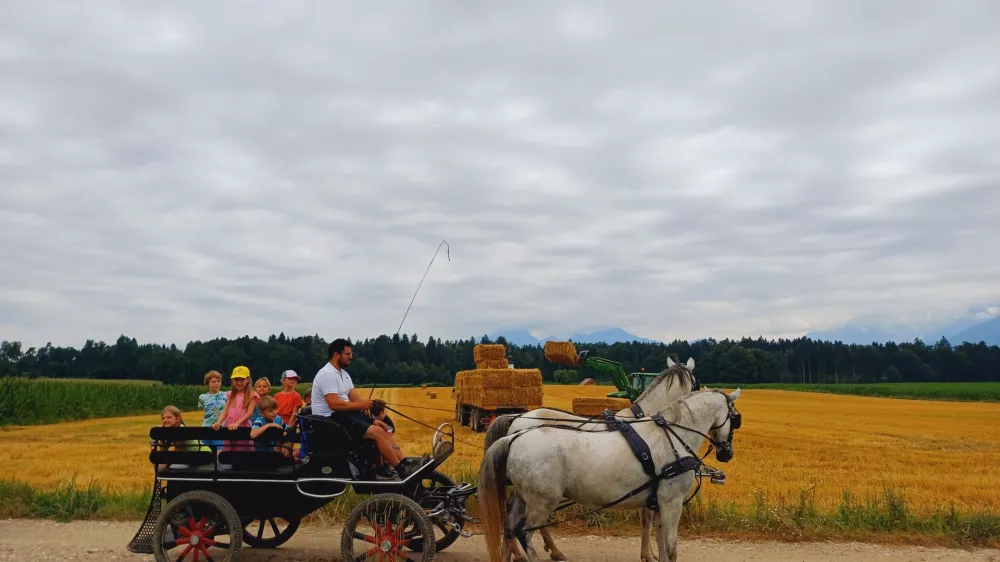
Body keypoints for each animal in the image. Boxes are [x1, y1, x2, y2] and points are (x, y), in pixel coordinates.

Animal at [476, 388, 744, 560]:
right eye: (735, 418)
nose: (727, 453)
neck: (672, 437)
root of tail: (515, 436)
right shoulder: (672, 502)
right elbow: (671, 548)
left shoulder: (659, 503)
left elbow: (661, 544)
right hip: (542, 503)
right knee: (525, 533)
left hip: (525, 499)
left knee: (509, 526)